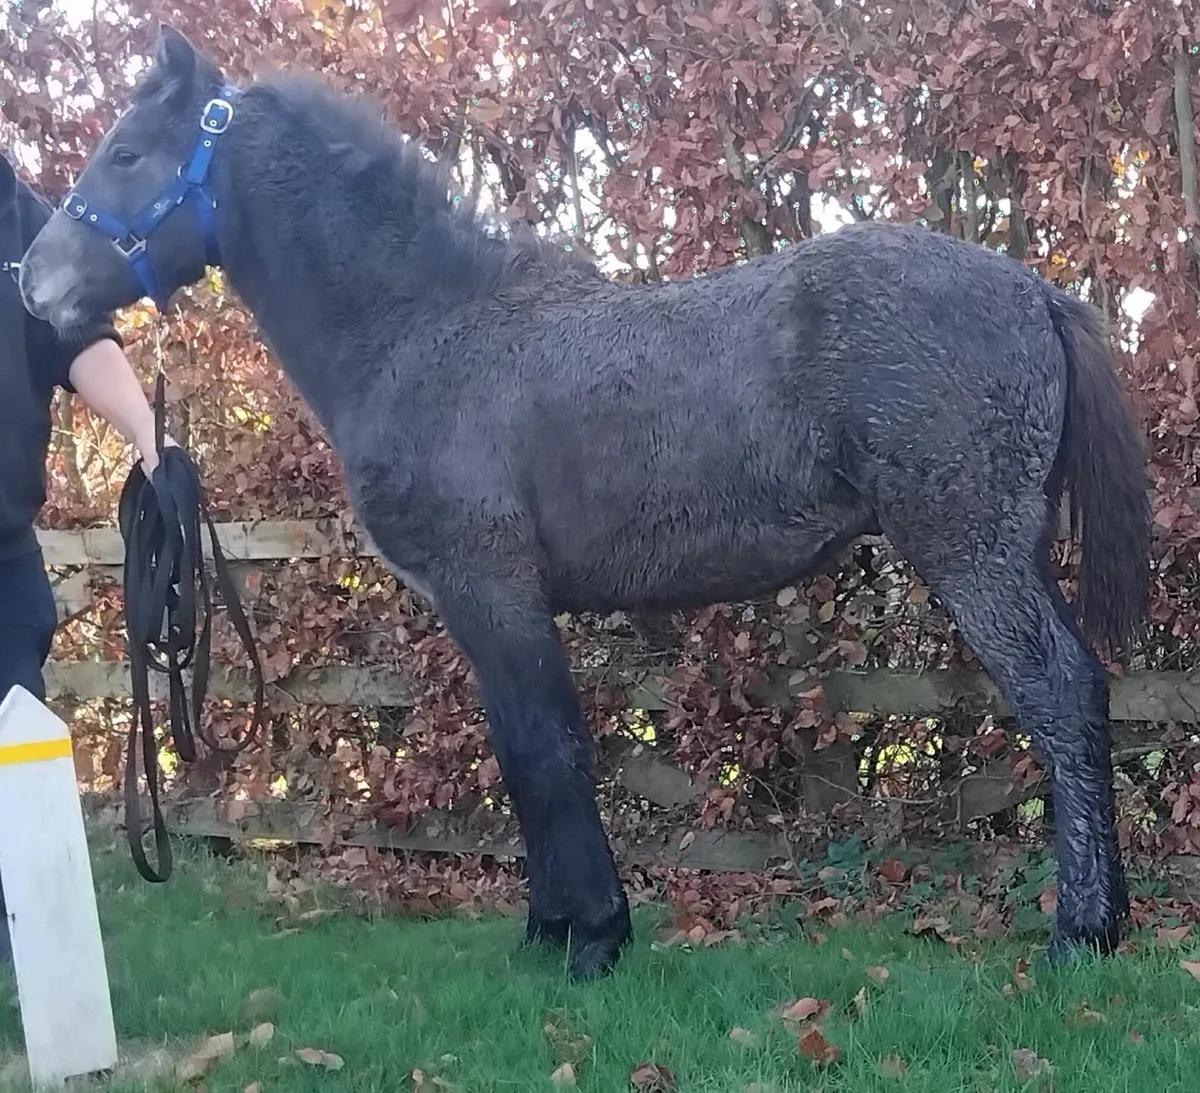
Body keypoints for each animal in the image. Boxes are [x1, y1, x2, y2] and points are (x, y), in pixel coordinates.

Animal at [20, 26, 1151, 980]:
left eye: (127, 152)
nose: (34, 282)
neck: (423, 327)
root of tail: (1035, 290)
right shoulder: (481, 610)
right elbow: (522, 757)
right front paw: (550, 930)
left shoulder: (495, 591)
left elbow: (549, 750)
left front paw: (595, 938)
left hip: (973, 551)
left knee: (1060, 692)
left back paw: (1083, 933)